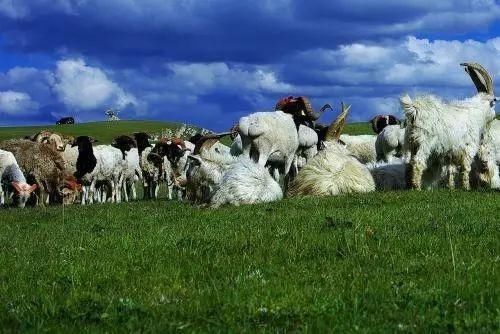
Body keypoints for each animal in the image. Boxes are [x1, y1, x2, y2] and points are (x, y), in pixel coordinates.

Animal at [402, 61, 500, 189]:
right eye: (493, 103)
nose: (494, 116)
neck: (476, 111)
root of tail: (415, 110)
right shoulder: (468, 148)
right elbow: (466, 168)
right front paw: (466, 187)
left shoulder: (451, 153)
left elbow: (451, 171)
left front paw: (451, 187)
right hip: (424, 143)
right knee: (418, 162)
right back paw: (417, 187)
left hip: (410, 144)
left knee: (408, 164)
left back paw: (410, 185)